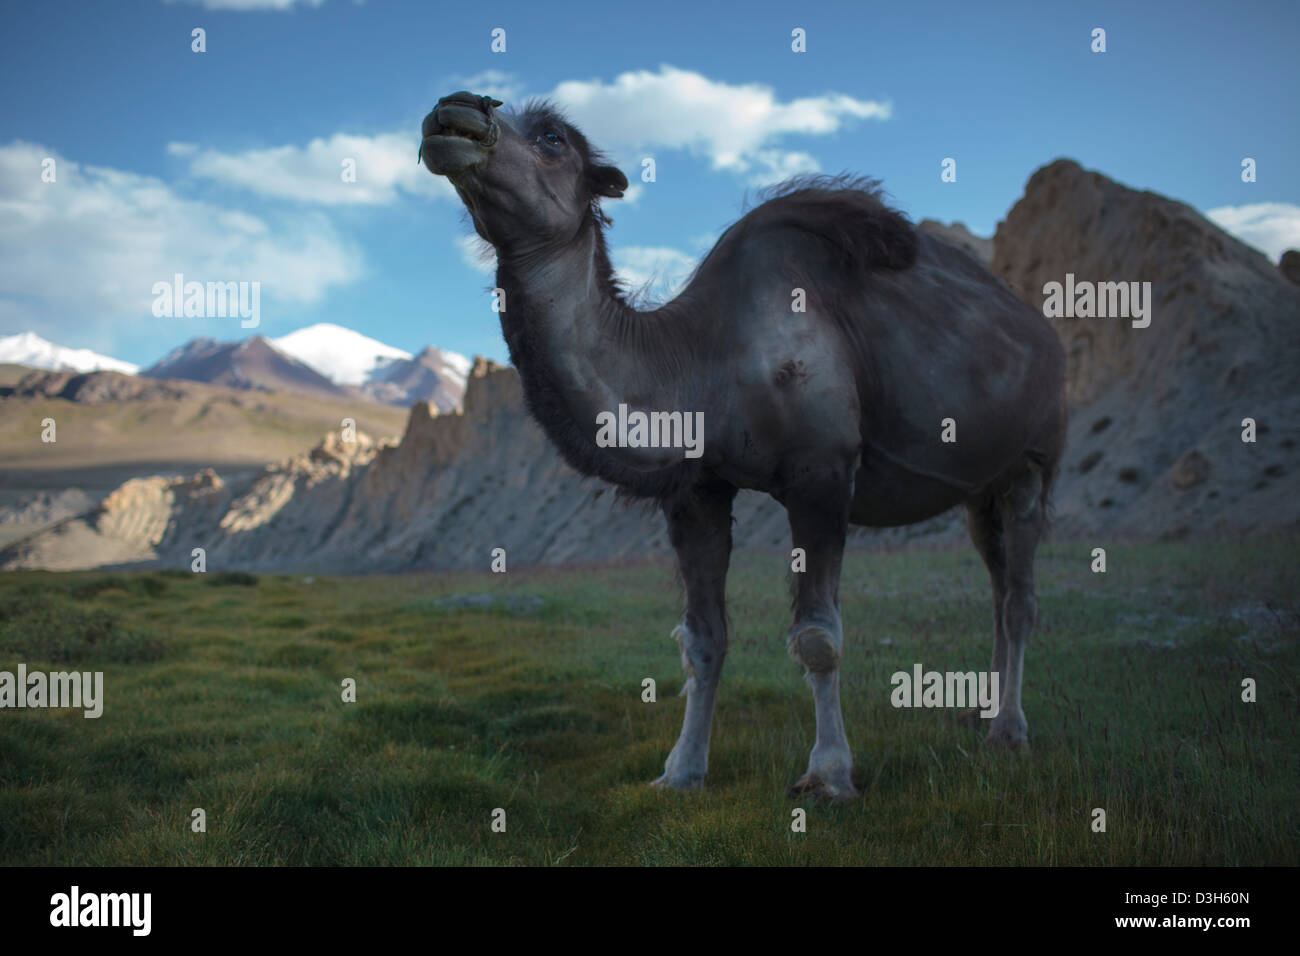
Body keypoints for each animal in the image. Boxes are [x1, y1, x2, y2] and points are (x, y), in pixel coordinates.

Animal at [421, 91, 1060, 801]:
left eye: (554, 138)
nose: (454, 112)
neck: (703, 359)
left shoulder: (821, 471)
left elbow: (817, 638)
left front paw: (829, 775)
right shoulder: (697, 488)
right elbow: (702, 640)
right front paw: (680, 771)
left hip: (1035, 456)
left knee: (1021, 599)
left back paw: (1011, 732)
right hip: (979, 489)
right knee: (998, 586)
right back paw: (986, 714)